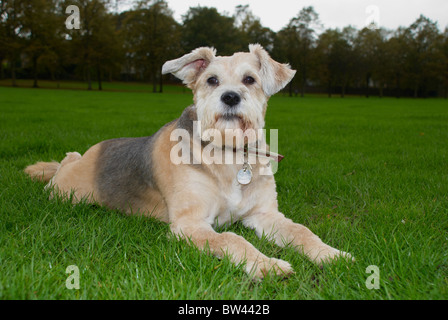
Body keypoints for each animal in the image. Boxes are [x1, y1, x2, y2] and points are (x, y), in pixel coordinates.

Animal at [25, 43, 350, 278]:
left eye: (250, 79)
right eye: (212, 80)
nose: (230, 97)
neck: (229, 155)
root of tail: (89, 154)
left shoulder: (264, 214)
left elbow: (301, 231)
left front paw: (329, 254)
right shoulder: (190, 224)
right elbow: (232, 238)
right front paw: (266, 265)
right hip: (67, 193)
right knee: (65, 162)